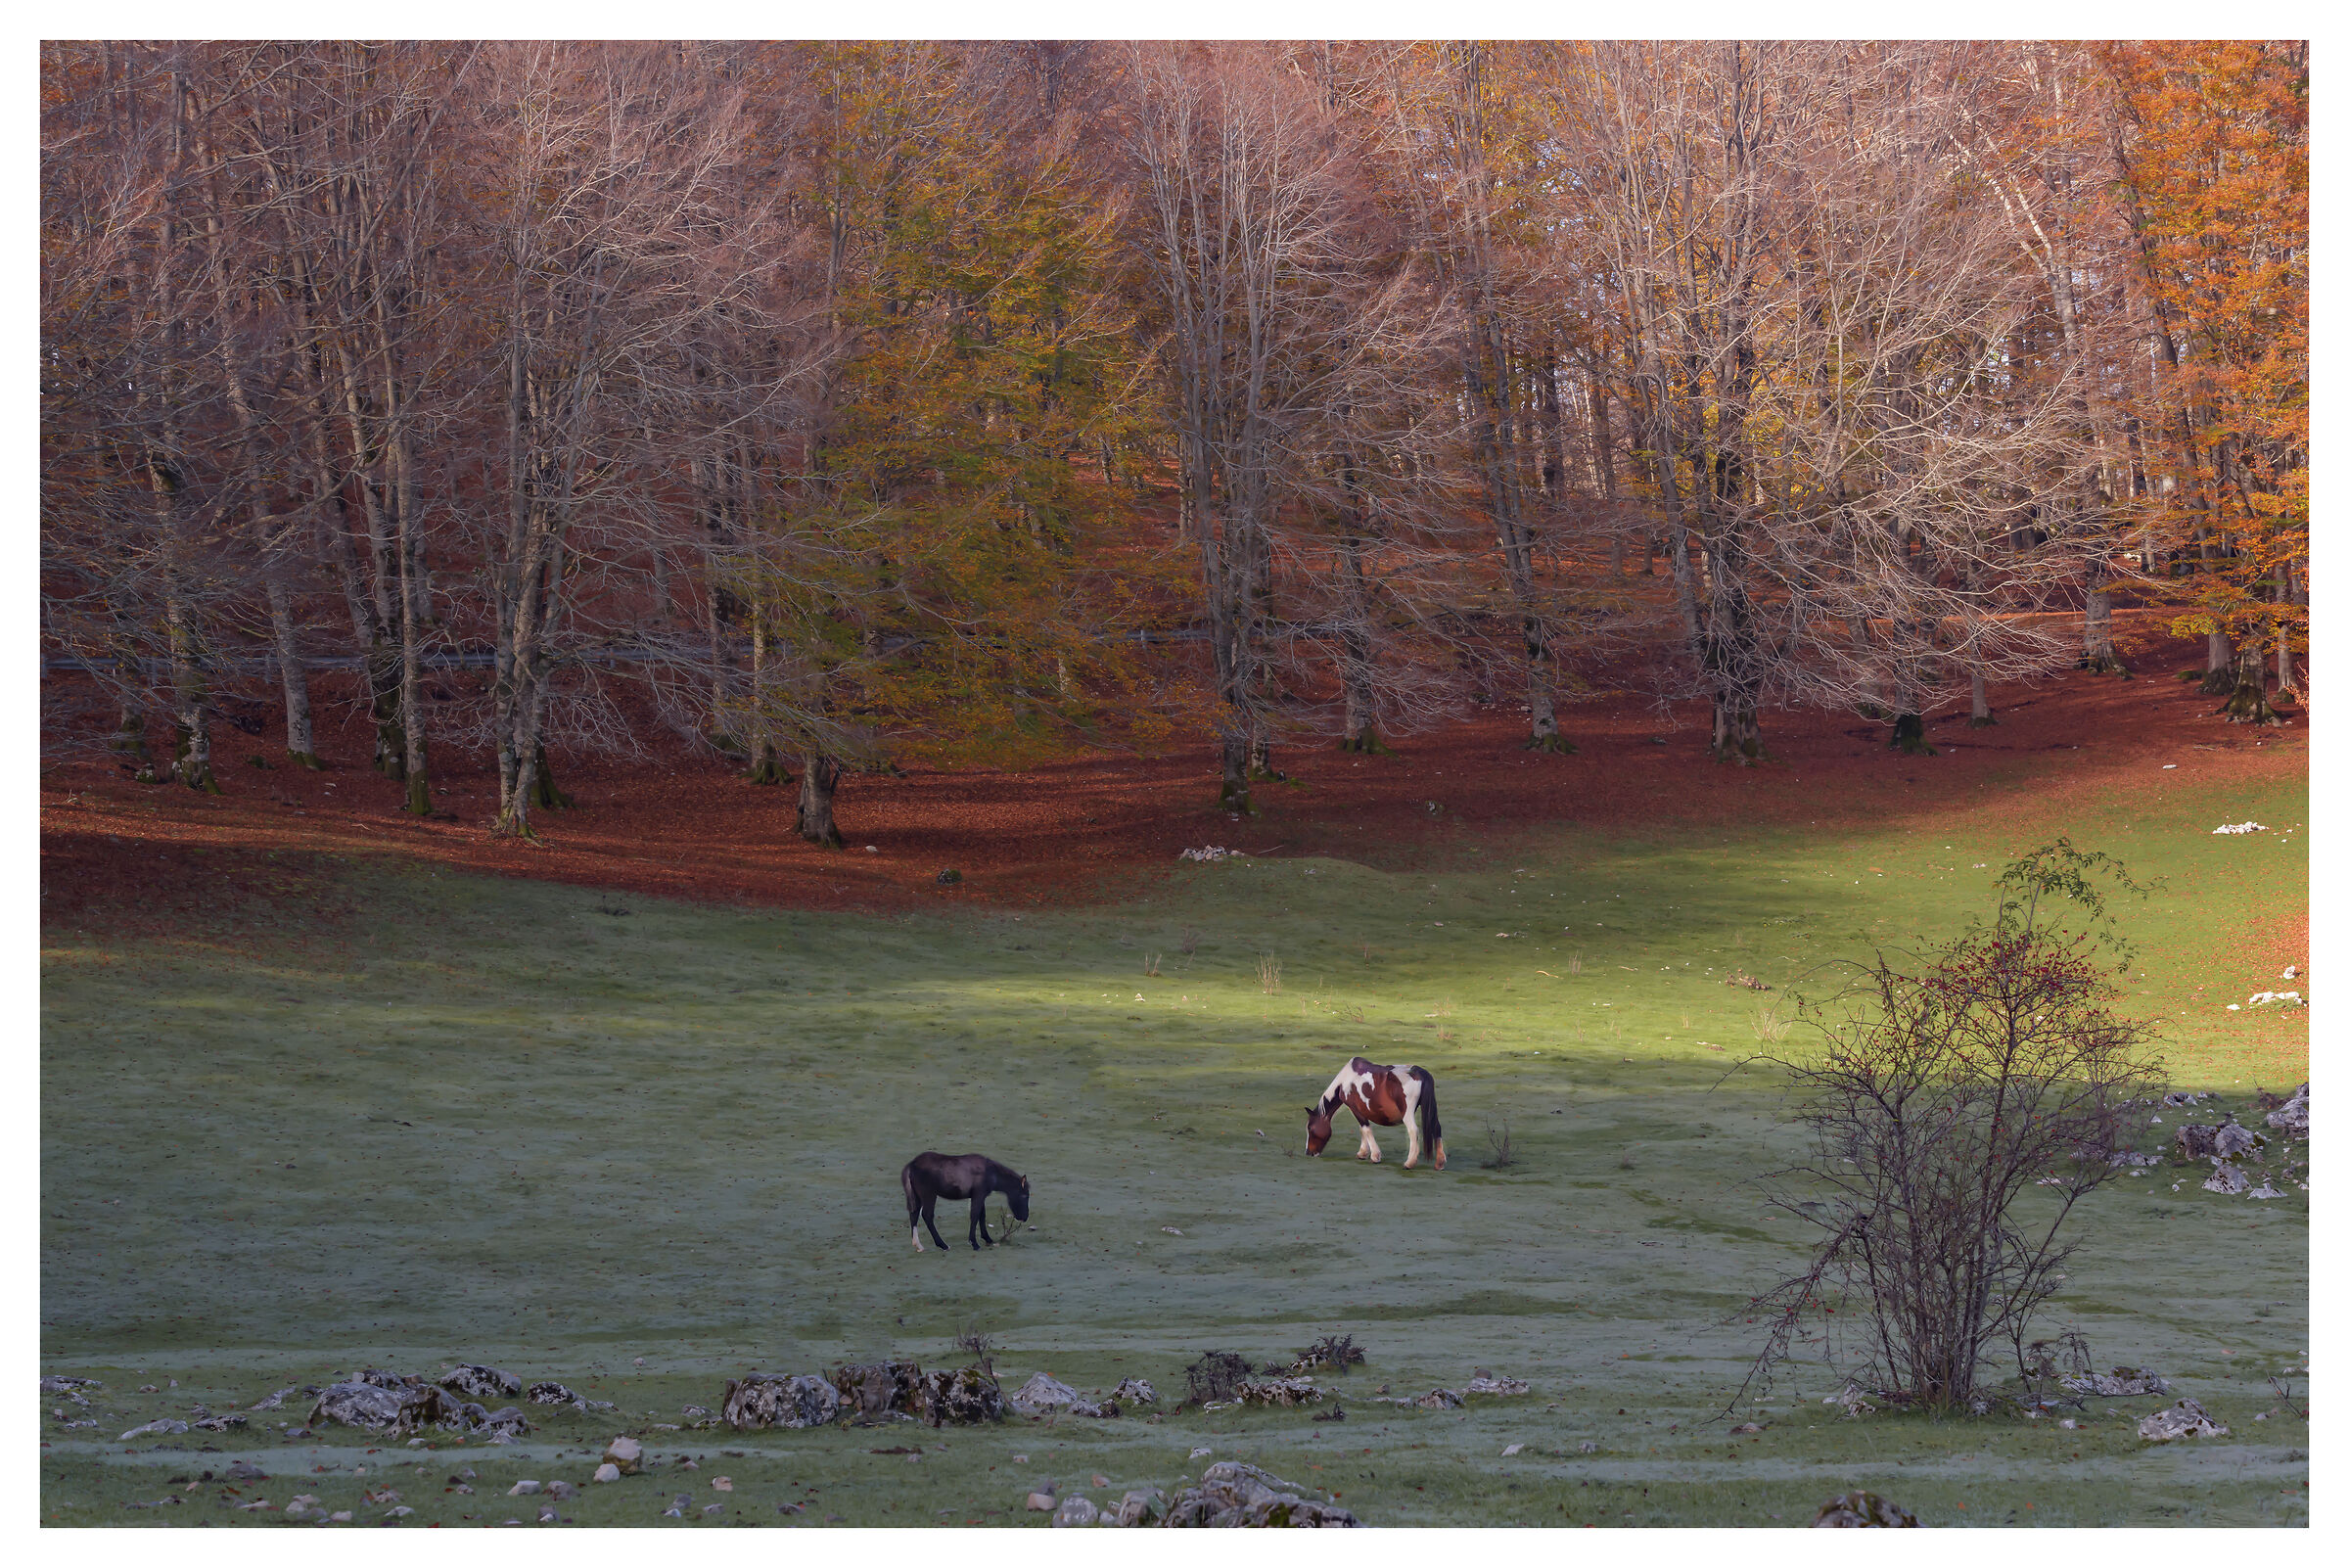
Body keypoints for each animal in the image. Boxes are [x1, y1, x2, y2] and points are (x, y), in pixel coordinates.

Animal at [901, 1152, 1031, 1253]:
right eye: (1025, 1196)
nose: (1024, 1217)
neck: (991, 1172)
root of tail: (912, 1165)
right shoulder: (978, 1195)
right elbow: (975, 1215)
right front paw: (974, 1243)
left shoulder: (980, 1196)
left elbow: (982, 1215)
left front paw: (987, 1239)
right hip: (929, 1195)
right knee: (927, 1215)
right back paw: (943, 1245)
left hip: (917, 1196)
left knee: (914, 1215)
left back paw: (918, 1245)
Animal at [1305, 1056, 1446, 1170]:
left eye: (1310, 1128)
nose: (1308, 1152)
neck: (1346, 1080)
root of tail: (1418, 1072)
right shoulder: (1361, 1111)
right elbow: (1362, 1129)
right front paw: (1363, 1153)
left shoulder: (1355, 1109)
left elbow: (1366, 1129)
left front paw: (1374, 1156)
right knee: (1437, 1128)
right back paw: (1439, 1163)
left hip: (1407, 1114)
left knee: (1413, 1131)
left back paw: (1409, 1163)